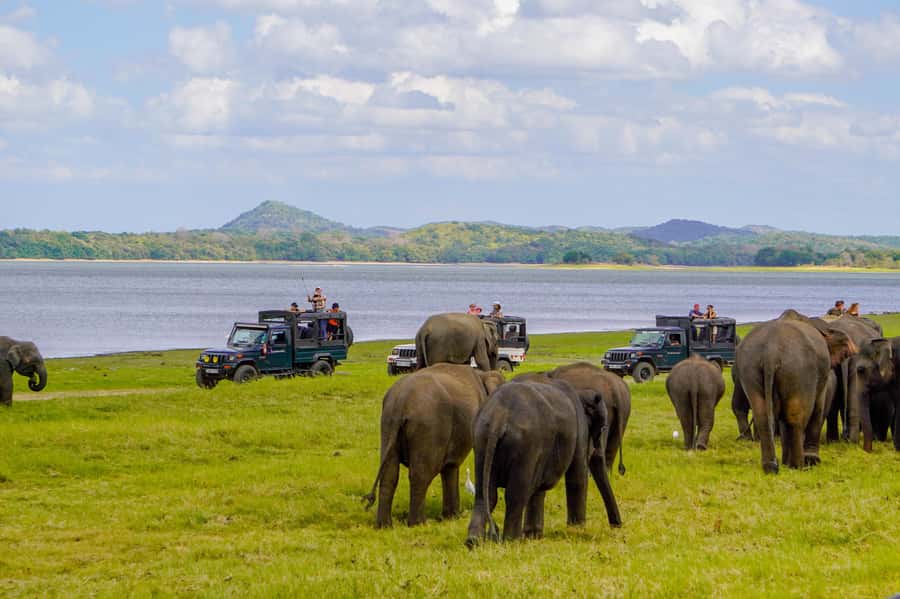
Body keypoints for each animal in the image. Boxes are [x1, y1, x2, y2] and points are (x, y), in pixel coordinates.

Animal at [363, 363, 505, 527]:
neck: (483, 374)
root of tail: (400, 401)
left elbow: (450, 466)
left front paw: (451, 517)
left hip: (387, 425)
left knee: (389, 474)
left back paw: (384, 526)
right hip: (429, 426)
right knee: (421, 474)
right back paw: (418, 523)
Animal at [464, 378, 621, 546]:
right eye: (603, 427)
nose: (617, 526)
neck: (581, 392)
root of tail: (498, 416)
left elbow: (538, 487)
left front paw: (534, 535)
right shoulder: (580, 431)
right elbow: (577, 476)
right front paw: (577, 529)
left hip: (481, 439)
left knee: (485, 494)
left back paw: (473, 542)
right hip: (525, 445)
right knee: (515, 495)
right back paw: (512, 541)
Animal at [735, 311, 856, 473]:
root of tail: (770, 352)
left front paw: (786, 463)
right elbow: (818, 407)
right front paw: (813, 461)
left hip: (750, 369)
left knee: (763, 416)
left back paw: (771, 467)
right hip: (798, 371)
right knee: (796, 417)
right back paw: (799, 466)